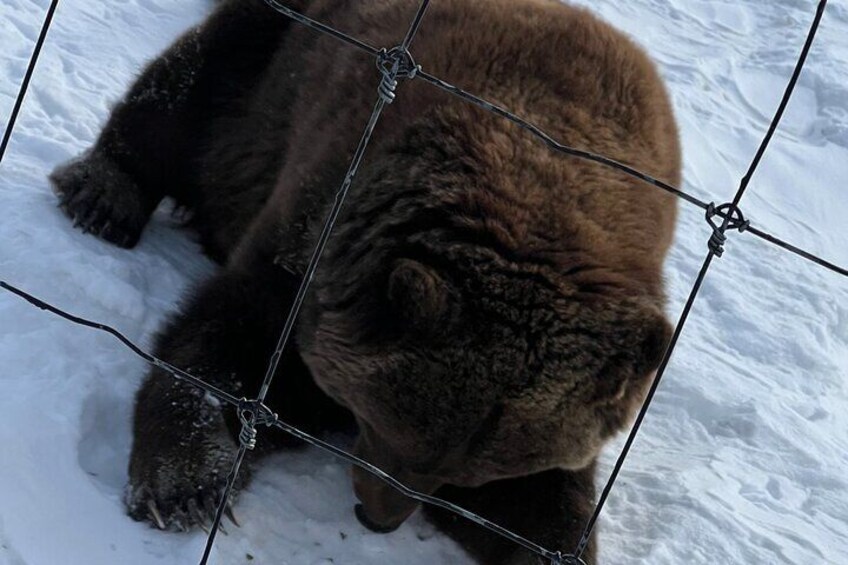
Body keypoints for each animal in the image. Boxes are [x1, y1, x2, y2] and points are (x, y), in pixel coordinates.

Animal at [48, 1, 684, 560]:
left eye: (470, 474)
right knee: (185, 88)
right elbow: (224, 344)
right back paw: (104, 195)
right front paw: (188, 484)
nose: (378, 517)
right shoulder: (315, 240)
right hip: (273, 56)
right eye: (387, 429)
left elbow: (548, 502)